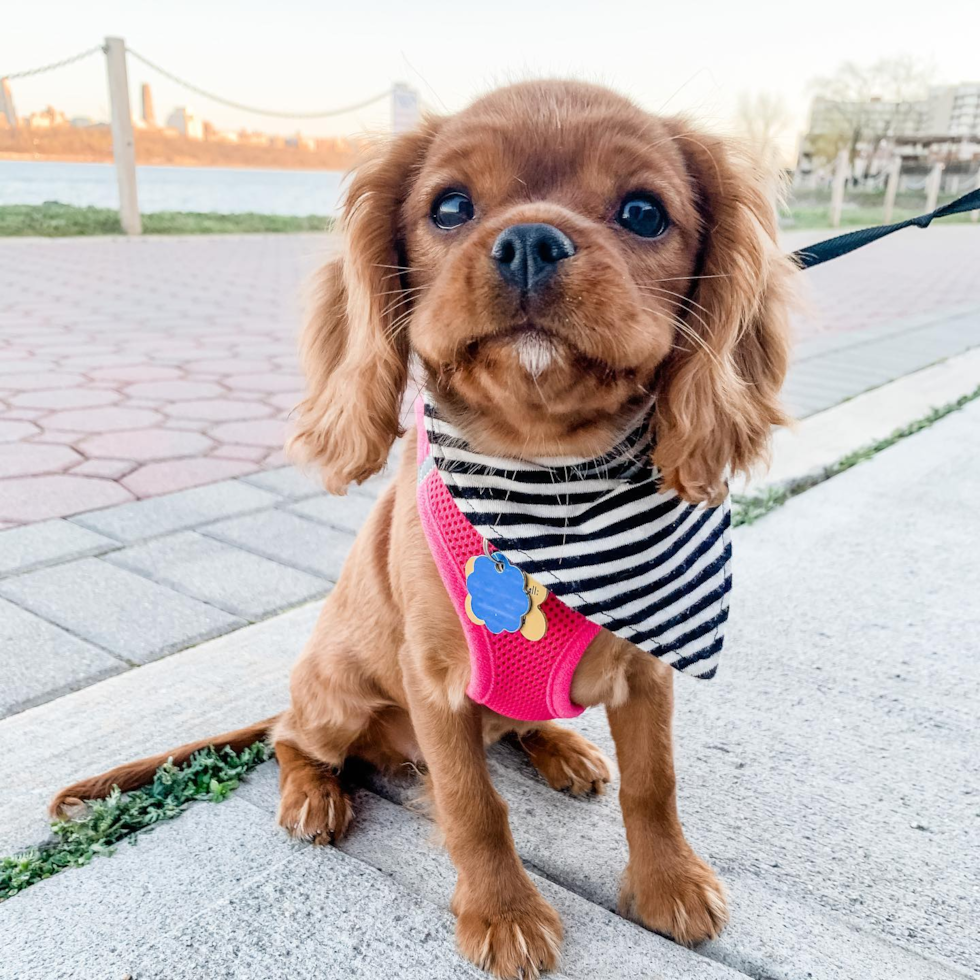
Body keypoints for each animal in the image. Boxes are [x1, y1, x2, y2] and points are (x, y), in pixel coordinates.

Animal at [49, 82, 792, 980]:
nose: (530, 242)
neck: (545, 480)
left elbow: (656, 786)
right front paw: (502, 914)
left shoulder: (648, 675)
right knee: (291, 740)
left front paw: (668, 884)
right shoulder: (436, 683)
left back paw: (559, 747)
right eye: (451, 207)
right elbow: (474, 806)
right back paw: (314, 794)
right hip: (335, 694)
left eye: (645, 213)